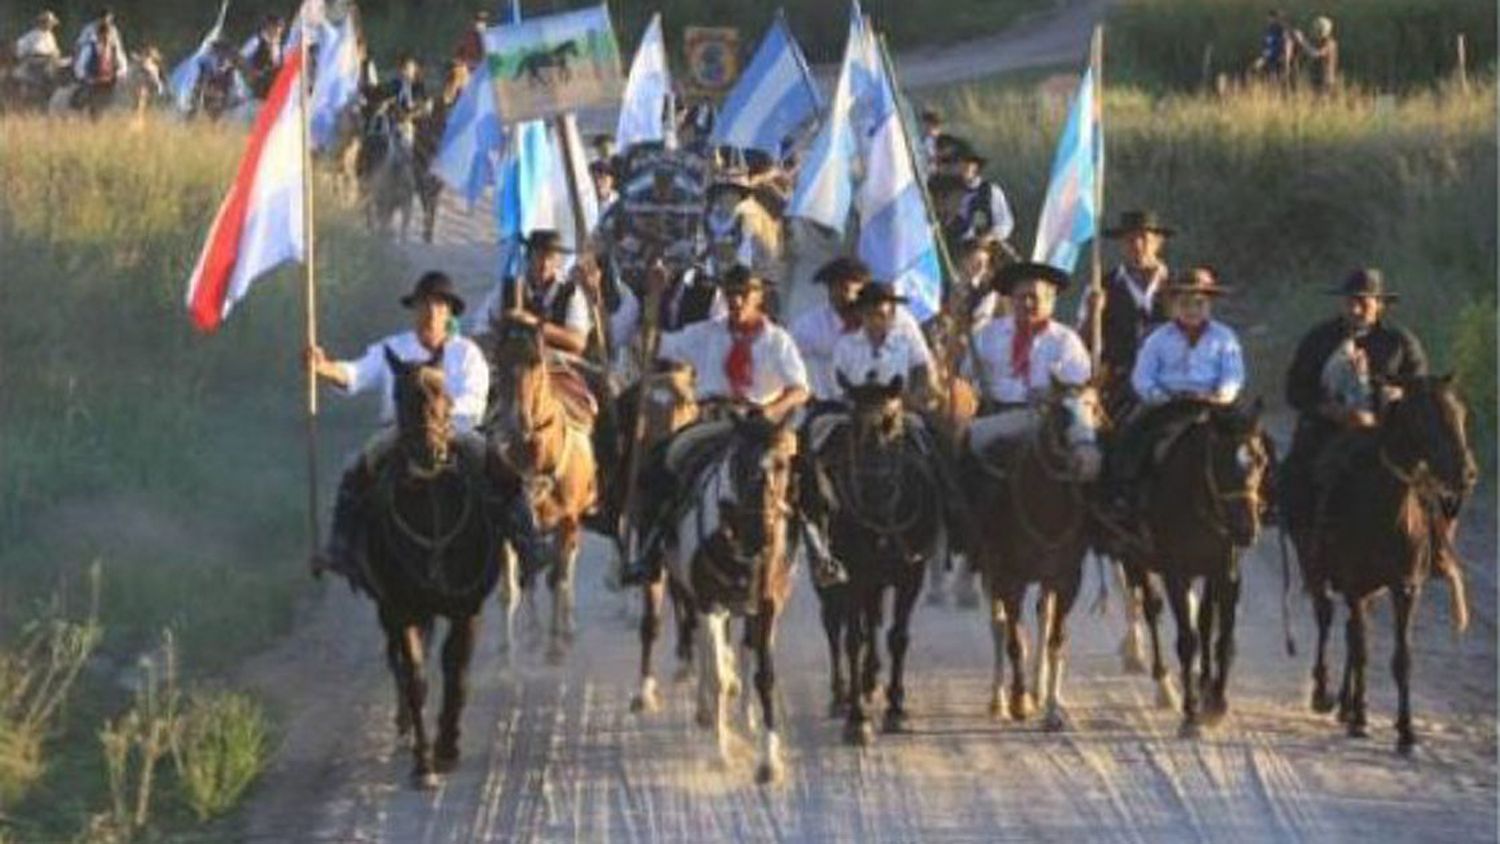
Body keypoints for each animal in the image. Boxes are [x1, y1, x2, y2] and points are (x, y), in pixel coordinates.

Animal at [357, 346, 504, 791]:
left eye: (447, 396)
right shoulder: (399, 607)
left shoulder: (466, 608)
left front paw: (448, 747)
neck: (431, 513)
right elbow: (416, 676)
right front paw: (424, 763)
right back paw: (404, 725)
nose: (430, 453)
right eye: (401, 397)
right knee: (397, 662)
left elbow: (457, 671)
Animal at [483, 317, 594, 668]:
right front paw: (507, 657)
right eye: (498, 360)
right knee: (530, 574)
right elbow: (510, 589)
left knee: (564, 567)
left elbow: (558, 578)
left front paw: (555, 646)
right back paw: (533, 631)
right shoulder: (506, 524)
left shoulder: (568, 520)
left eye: (535, 361)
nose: (515, 424)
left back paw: (566, 627)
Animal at [960, 383, 1104, 734]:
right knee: (999, 625)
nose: (1089, 461)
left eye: (1094, 408)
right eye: (1061, 412)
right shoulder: (1010, 577)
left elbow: (1056, 638)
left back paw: (1041, 692)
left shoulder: (1066, 579)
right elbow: (1013, 639)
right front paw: (1017, 702)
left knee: (1042, 617)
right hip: (991, 570)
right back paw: (998, 699)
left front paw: (1052, 709)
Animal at [1122, 398, 1272, 737]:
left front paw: (1216, 703)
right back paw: (1163, 683)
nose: (1247, 530)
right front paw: (1190, 714)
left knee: (1202, 621)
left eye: (1260, 460)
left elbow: (1220, 635)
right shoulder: (1176, 572)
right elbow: (1187, 639)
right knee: (1150, 607)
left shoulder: (1227, 572)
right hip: (1136, 557)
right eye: (1221, 462)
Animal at [1302, 376, 1476, 752]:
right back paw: (1327, 696)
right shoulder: (1354, 584)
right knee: (1328, 620)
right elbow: (1362, 649)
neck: (1383, 511)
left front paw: (1406, 732)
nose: (1467, 474)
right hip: (1321, 572)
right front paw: (1361, 720)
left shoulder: (1405, 587)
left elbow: (1402, 658)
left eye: (1460, 412)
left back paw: (1346, 705)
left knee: (1349, 631)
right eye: (1426, 416)